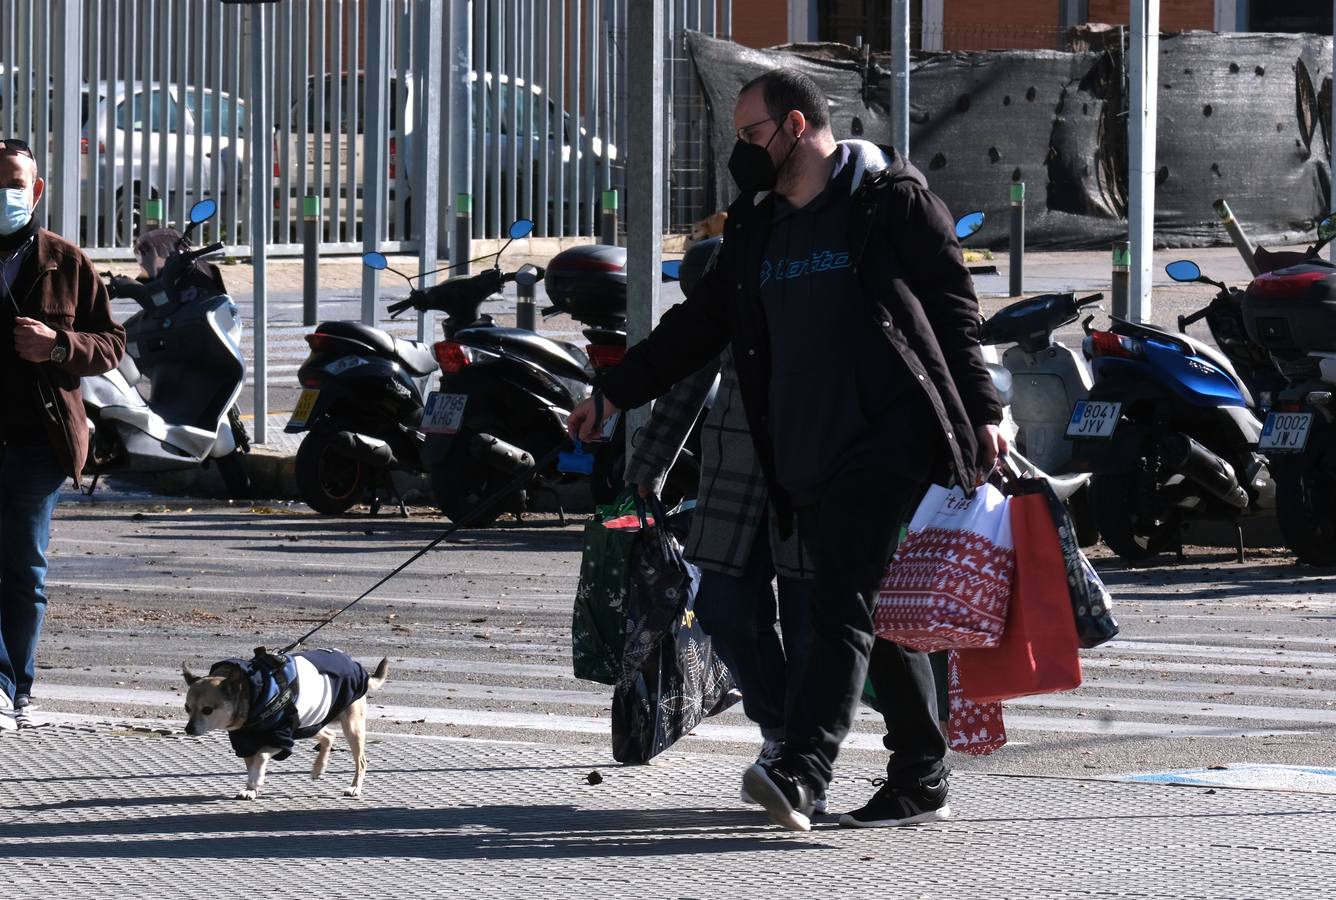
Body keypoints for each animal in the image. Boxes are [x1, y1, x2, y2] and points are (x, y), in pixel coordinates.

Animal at [180, 646, 387, 801]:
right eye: (187, 708)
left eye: (207, 710)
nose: (188, 729)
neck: (253, 697)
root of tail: (355, 664)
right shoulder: (245, 744)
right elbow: (251, 765)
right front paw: (251, 787)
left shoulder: (281, 739)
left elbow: (261, 756)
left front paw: (256, 781)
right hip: (307, 724)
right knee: (329, 735)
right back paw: (318, 767)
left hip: (351, 727)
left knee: (361, 761)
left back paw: (354, 787)